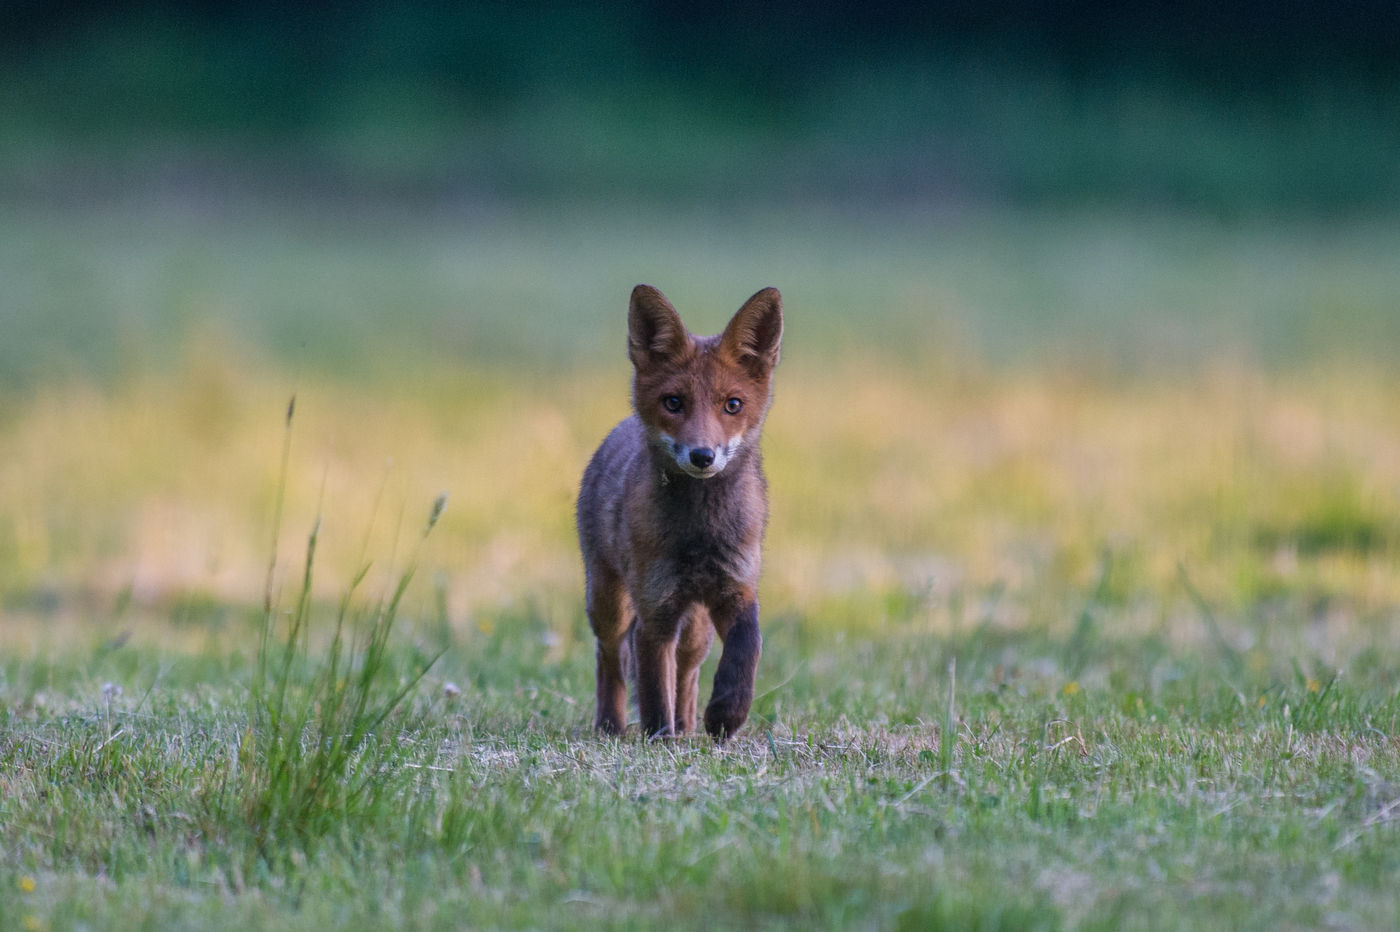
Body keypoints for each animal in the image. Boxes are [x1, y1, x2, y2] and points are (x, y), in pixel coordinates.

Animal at [574, 279, 784, 738]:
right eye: (673, 402)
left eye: (733, 405)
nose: (702, 456)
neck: (699, 534)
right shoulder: (657, 606)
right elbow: (654, 687)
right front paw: (659, 740)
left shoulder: (735, 586)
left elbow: (748, 647)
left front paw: (727, 713)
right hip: (610, 603)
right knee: (610, 657)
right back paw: (612, 725)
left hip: (696, 628)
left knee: (687, 672)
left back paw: (688, 725)